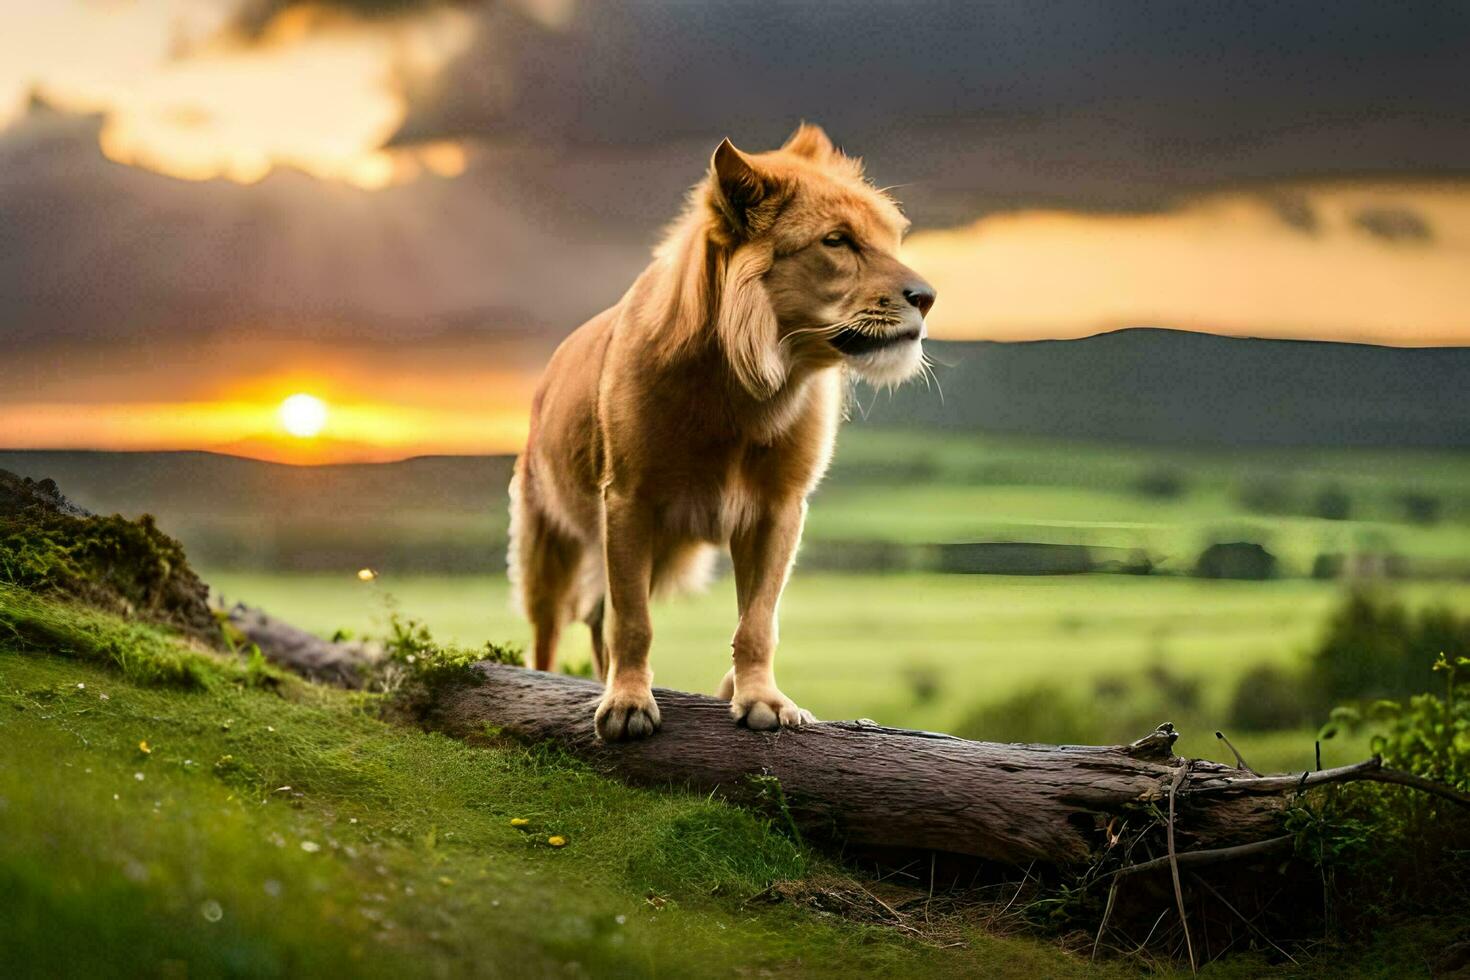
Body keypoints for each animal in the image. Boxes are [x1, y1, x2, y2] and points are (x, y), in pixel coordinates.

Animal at [511, 122, 934, 740]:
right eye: (837, 241)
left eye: (892, 239)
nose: (927, 297)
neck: (744, 387)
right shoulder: (629, 503)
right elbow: (633, 621)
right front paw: (628, 704)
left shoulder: (778, 509)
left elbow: (757, 620)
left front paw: (761, 700)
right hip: (549, 542)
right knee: (550, 629)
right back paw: (551, 681)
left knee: (595, 614)